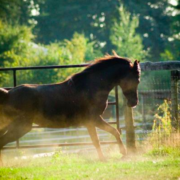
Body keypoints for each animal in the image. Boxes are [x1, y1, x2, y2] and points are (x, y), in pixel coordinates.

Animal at [0, 54, 141, 162]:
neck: (91, 86)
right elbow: (103, 137)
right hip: (22, 126)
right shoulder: (93, 120)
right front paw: (114, 155)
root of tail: (8, 94)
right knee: (3, 141)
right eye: (137, 79)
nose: (133, 103)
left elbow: (107, 135)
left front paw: (119, 154)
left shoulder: (92, 121)